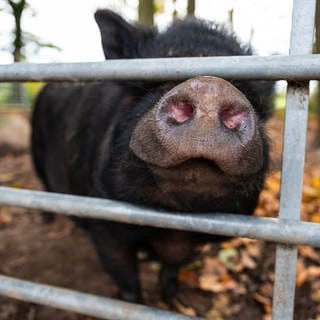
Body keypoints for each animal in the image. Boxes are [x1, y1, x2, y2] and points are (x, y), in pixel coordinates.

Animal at [31, 10, 274, 304]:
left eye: (251, 95)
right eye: (155, 83)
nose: (210, 86)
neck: (171, 228)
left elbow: (172, 269)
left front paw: (173, 301)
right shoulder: (105, 226)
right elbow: (126, 280)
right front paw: (133, 302)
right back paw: (47, 219)